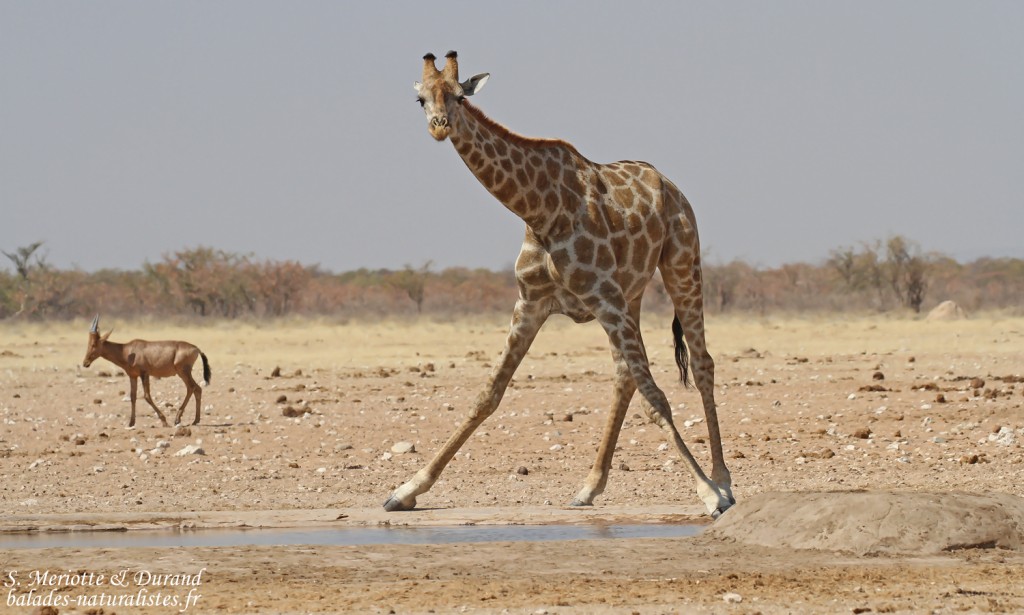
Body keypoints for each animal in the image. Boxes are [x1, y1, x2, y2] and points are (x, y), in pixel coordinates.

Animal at [384, 51, 734, 517]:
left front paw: (709, 494)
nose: (440, 126)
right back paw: (589, 487)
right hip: (632, 293)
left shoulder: (603, 298)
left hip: (680, 263)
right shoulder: (531, 303)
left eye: (460, 96)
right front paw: (407, 489)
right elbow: (488, 394)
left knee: (700, 364)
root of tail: (671, 187)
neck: (538, 210)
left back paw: (723, 481)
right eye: (421, 99)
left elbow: (657, 397)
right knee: (625, 376)